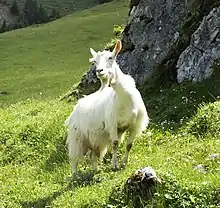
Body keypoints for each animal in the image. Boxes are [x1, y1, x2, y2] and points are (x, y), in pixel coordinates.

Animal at [64, 39, 149, 175]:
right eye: (94, 62)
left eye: (111, 57)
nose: (99, 71)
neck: (125, 99)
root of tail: (78, 104)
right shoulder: (112, 124)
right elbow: (115, 144)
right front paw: (114, 165)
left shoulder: (135, 125)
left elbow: (128, 145)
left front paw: (124, 163)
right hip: (77, 136)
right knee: (74, 157)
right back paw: (76, 175)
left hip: (95, 138)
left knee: (93, 155)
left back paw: (95, 170)